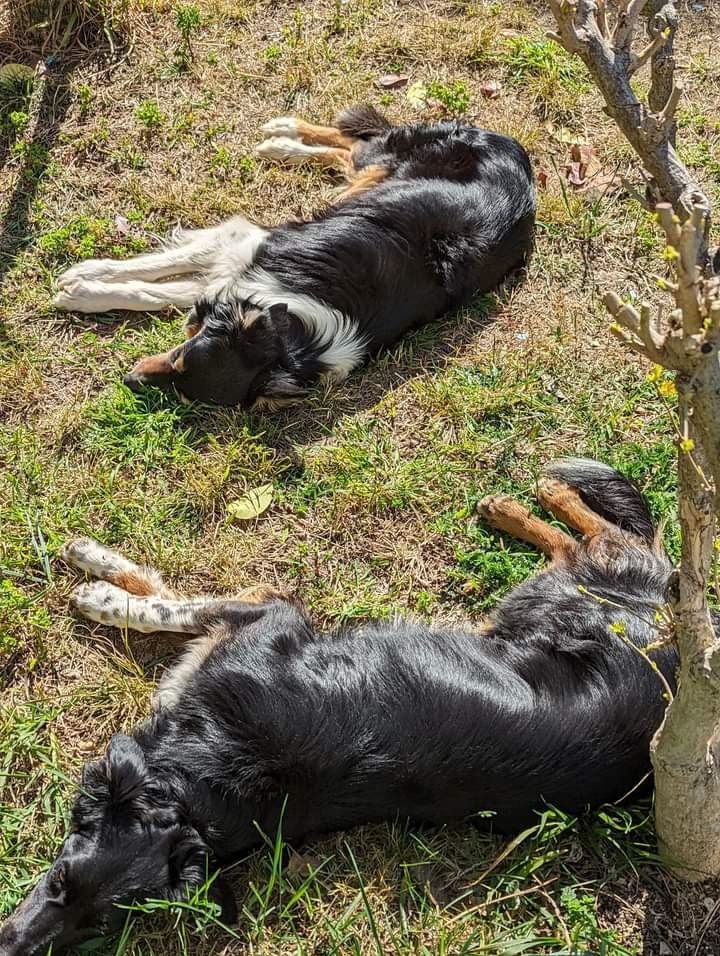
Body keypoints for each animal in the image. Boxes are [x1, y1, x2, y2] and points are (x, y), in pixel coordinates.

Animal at [0, 460, 680, 952]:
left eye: (98, 925)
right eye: (62, 888)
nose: (12, 948)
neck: (204, 784)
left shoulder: (266, 611)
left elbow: (167, 606)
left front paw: (99, 585)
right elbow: (169, 593)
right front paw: (104, 567)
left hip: (557, 599)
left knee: (602, 540)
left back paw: (533, 496)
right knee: (590, 542)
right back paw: (520, 504)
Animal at [52, 105, 536, 410]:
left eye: (179, 366)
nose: (129, 380)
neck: (292, 330)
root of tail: (514, 146)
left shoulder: (243, 267)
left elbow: (163, 289)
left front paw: (82, 290)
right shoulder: (247, 245)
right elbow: (157, 271)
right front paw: (87, 278)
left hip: (376, 175)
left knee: (348, 150)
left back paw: (285, 144)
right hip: (381, 166)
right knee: (353, 144)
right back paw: (284, 136)